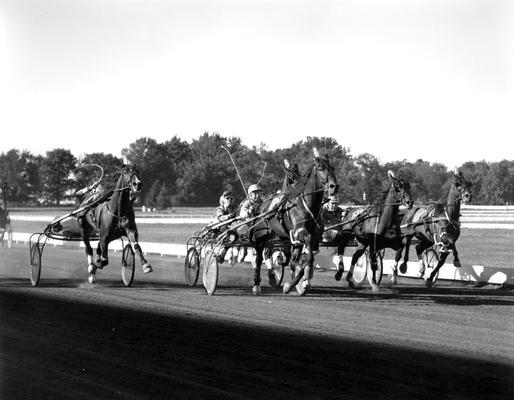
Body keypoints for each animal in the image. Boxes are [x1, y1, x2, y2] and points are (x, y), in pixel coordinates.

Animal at [247, 148, 336, 296]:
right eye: (320, 168)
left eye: (333, 168)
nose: (334, 186)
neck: (307, 205)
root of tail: (260, 206)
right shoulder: (300, 233)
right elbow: (308, 258)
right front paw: (296, 282)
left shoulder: (313, 238)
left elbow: (304, 258)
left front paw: (296, 283)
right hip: (260, 236)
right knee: (259, 258)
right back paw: (256, 285)